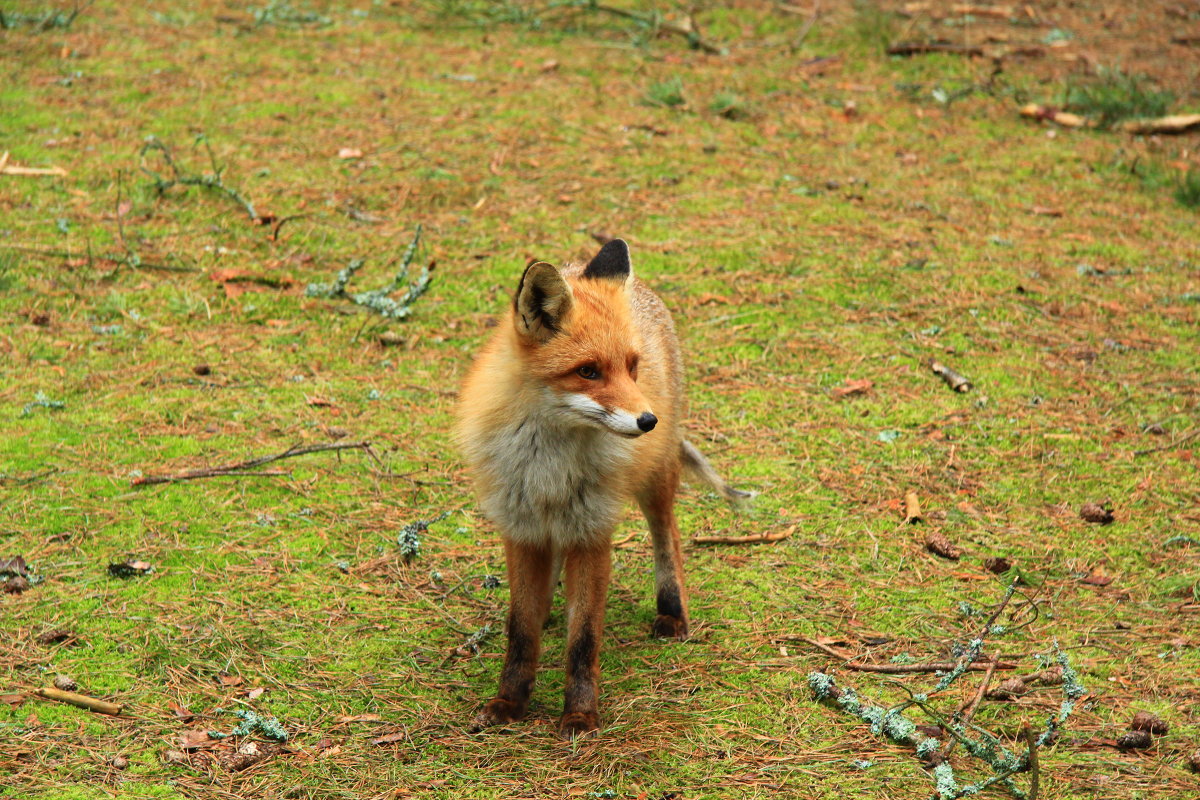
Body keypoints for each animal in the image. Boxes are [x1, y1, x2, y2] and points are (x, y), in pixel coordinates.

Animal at [453, 241, 744, 743]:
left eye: (631, 367)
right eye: (587, 371)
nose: (648, 420)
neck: (549, 465)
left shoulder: (592, 533)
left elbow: (584, 638)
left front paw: (580, 716)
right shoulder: (521, 527)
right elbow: (520, 629)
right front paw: (510, 702)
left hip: (655, 480)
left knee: (667, 537)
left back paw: (673, 613)